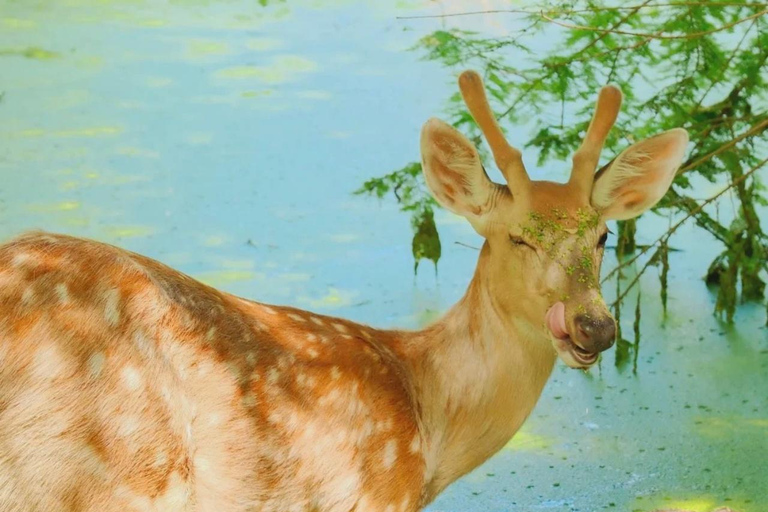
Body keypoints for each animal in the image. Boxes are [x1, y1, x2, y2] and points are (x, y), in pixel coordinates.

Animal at [0, 70, 688, 512]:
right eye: (517, 237)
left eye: (602, 235)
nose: (594, 325)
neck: (427, 420)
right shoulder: (374, 495)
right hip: (108, 471)